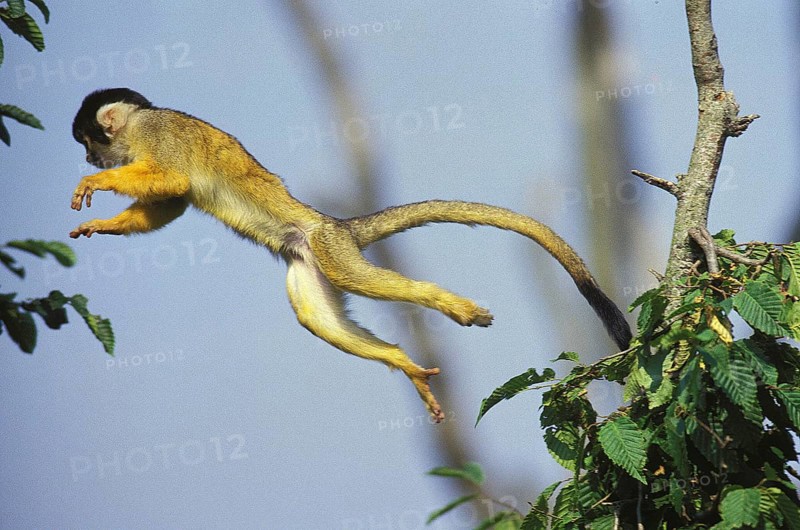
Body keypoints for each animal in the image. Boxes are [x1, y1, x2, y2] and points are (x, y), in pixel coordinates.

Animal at [69, 88, 632, 422]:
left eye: (88, 142)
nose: (90, 158)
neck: (138, 125)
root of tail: (336, 223)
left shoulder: (155, 133)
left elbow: (175, 181)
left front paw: (95, 184)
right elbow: (171, 202)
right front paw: (100, 222)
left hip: (329, 250)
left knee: (354, 279)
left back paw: (449, 305)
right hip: (307, 264)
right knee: (313, 315)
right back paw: (402, 362)